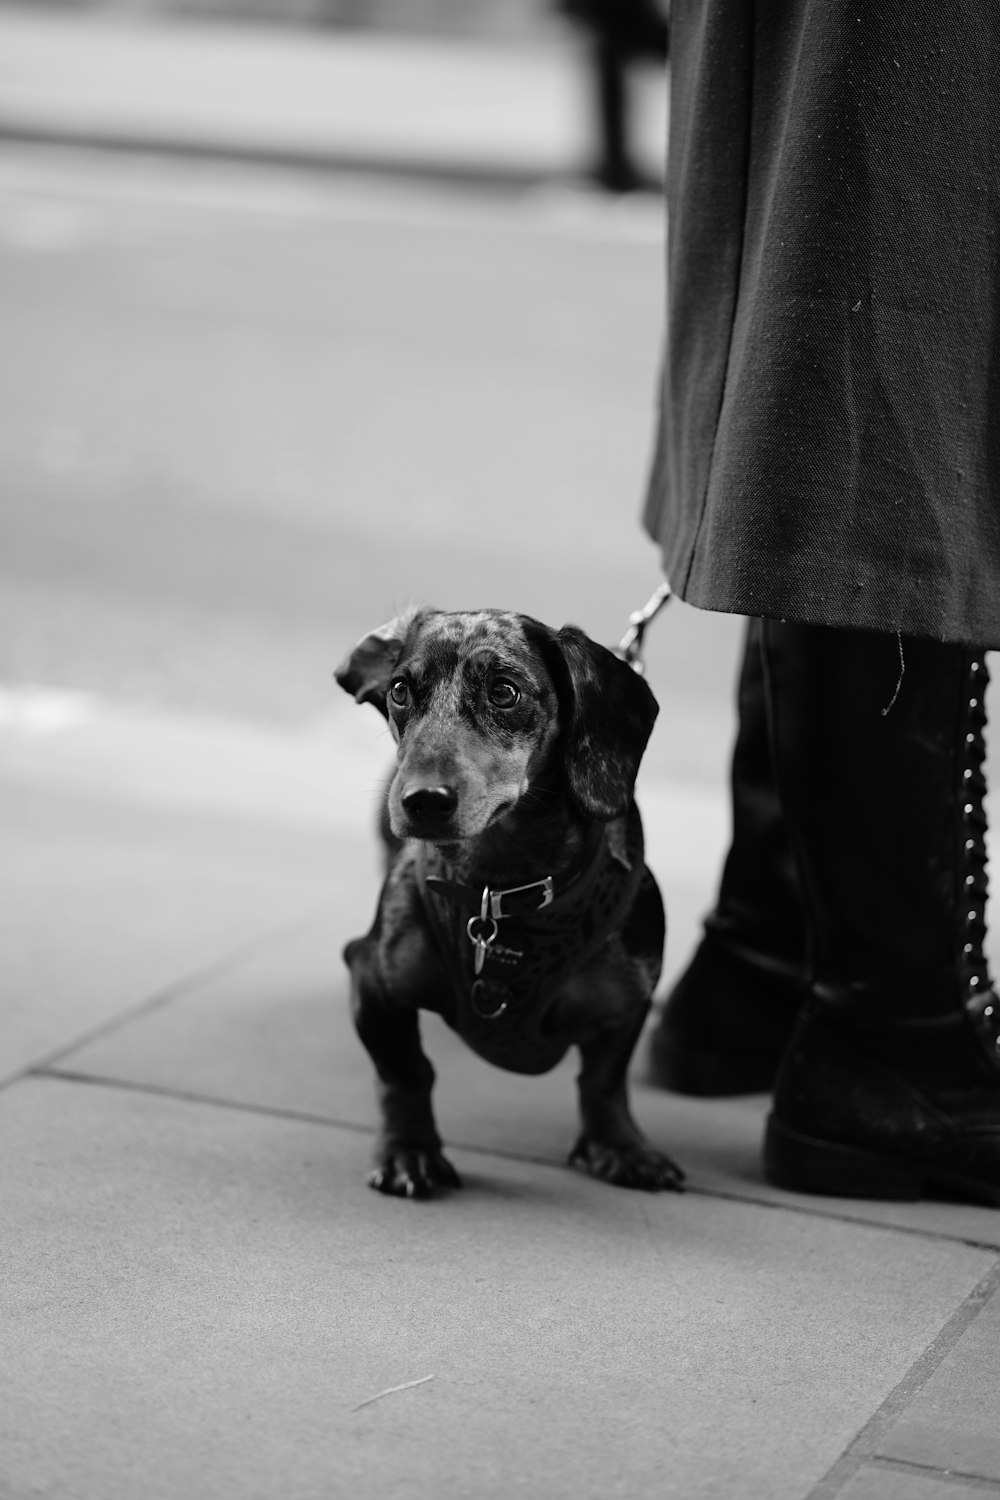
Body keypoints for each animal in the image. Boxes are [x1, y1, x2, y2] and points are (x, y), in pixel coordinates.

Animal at [338, 603, 689, 1200]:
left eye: (504, 692)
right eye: (401, 690)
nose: (422, 801)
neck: (498, 888)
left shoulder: (629, 1002)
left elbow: (604, 1081)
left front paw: (620, 1147)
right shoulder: (372, 977)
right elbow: (405, 1073)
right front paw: (410, 1152)